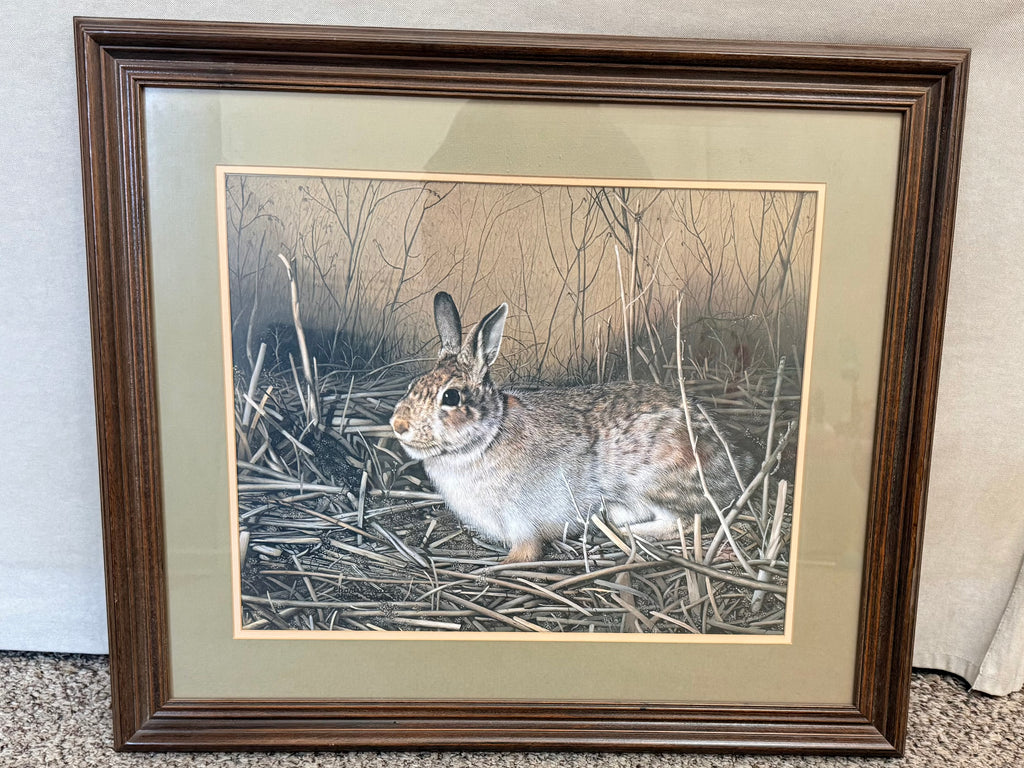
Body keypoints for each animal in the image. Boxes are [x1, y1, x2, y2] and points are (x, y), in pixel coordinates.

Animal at [389, 291, 753, 563]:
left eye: (450, 397)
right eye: (412, 385)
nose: (398, 424)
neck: (487, 438)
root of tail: (736, 472)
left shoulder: (521, 524)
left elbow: (525, 553)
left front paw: (497, 568)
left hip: (654, 480)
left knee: (685, 522)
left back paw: (620, 530)